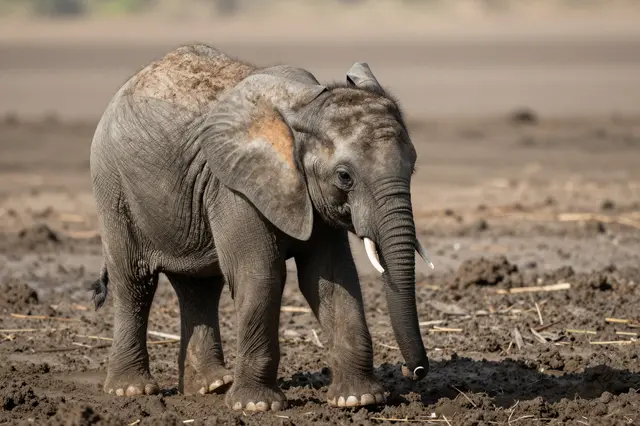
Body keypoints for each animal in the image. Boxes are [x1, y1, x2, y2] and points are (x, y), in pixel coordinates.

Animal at [89, 43, 434, 412]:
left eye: (413, 168)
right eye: (345, 176)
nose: (414, 371)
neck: (302, 109)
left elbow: (332, 276)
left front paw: (358, 400)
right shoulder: (234, 187)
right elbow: (261, 275)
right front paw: (257, 406)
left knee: (199, 286)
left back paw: (212, 386)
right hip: (113, 187)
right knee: (135, 282)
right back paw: (131, 390)